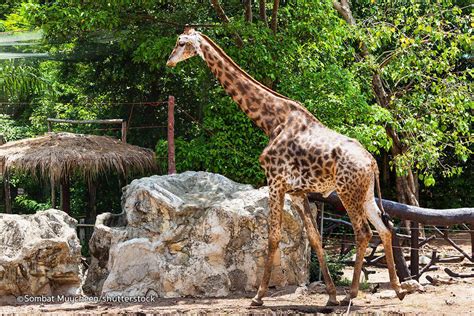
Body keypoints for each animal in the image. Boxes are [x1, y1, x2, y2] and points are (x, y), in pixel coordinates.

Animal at [167, 27, 408, 306]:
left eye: (180, 43)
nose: (169, 61)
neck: (270, 120)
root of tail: (372, 162)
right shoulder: (297, 192)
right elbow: (314, 239)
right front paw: (331, 296)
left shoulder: (275, 182)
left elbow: (273, 237)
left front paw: (258, 296)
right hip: (365, 193)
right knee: (384, 229)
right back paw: (398, 289)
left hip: (347, 192)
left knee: (364, 232)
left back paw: (353, 293)